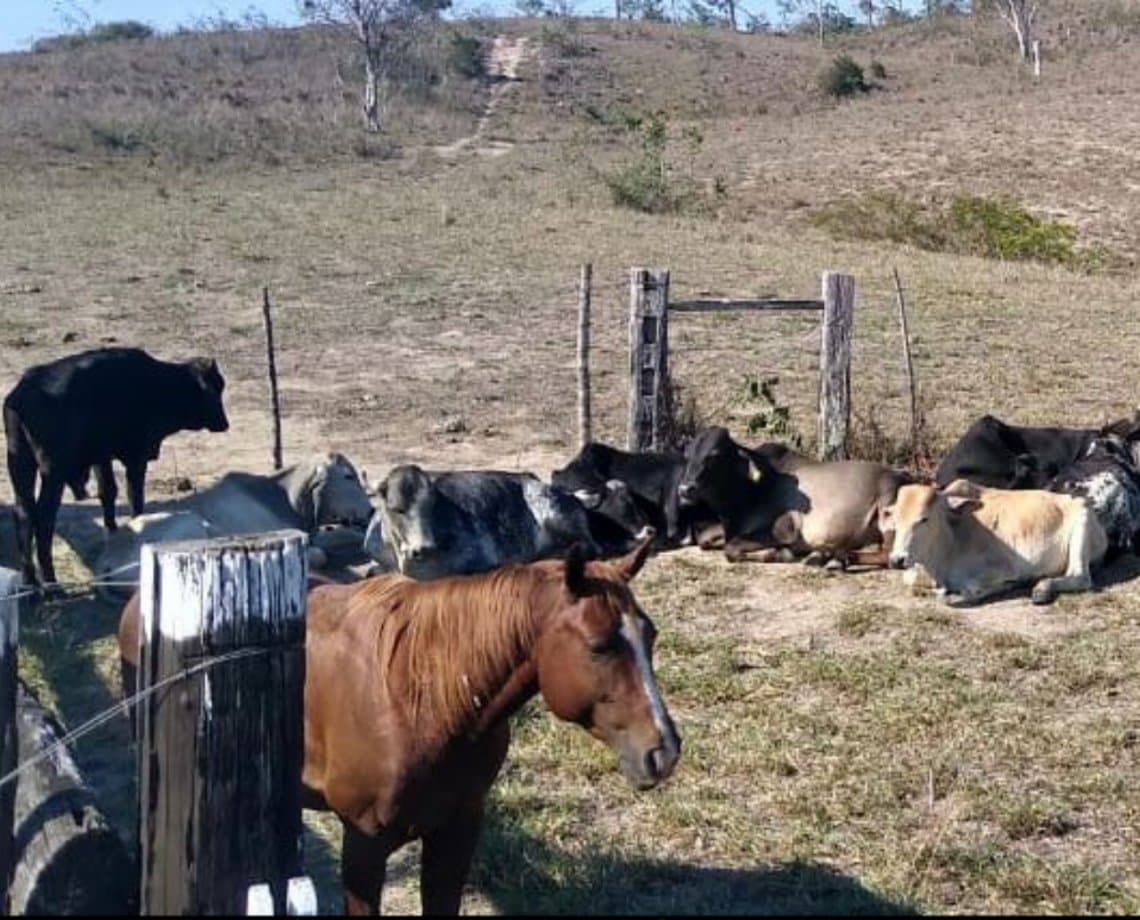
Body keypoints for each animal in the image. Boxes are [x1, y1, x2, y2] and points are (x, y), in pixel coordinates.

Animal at [4, 348, 229, 588]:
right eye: (215, 387)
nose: (225, 424)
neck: (160, 382)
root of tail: (21, 395)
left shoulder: (102, 456)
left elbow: (108, 493)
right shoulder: (136, 455)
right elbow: (135, 497)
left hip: (20, 463)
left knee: (23, 513)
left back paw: (29, 581)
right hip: (53, 471)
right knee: (44, 516)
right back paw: (51, 583)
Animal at [96, 451, 373, 597]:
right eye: (348, 476)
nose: (371, 510)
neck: (284, 496)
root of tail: (107, 558)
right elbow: (320, 554)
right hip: (194, 526)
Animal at [119, 533, 679, 912]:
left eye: (649, 636)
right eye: (599, 647)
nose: (664, 750)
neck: (422, 701)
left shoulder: (457, 831)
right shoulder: (364, 845)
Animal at [884, 478, 1108, 606]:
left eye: (924, 519)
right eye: (895, 518)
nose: (897, 559)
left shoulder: (1003, 567)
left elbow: (968, 591)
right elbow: (911, 579)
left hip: (1081, 522)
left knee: (1080, 577)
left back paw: (1041, 588)